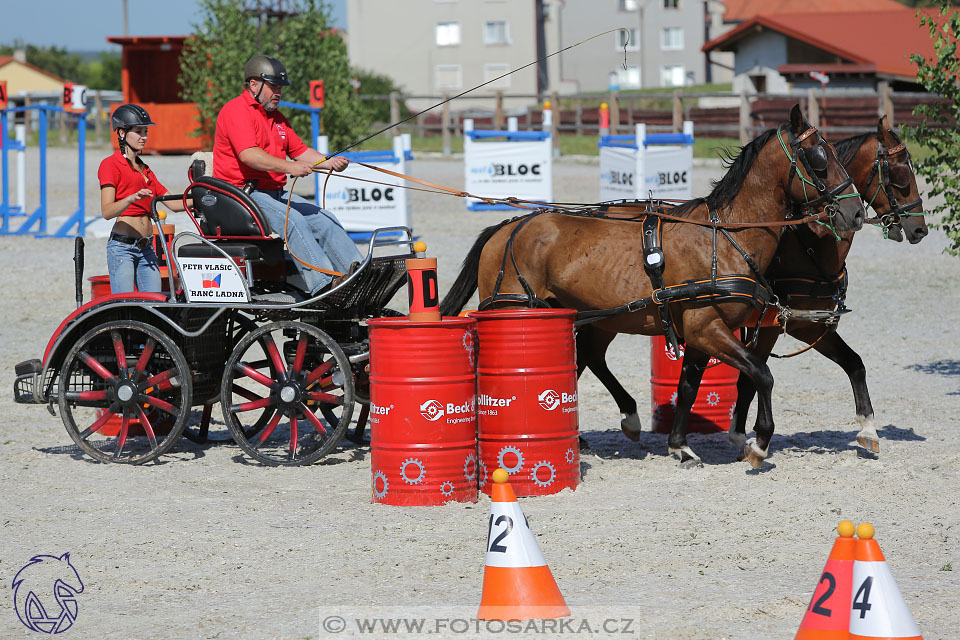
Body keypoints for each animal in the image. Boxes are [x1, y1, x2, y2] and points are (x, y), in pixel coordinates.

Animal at [446, 102, 868, 468]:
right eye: (818, 158)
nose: (855, 212)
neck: (723, 238)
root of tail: (507, 227)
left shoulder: (701, 334)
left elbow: (689, 386)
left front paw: (681, 445)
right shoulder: (707, 329)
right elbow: (761, 374)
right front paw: (759, 442)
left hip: (591, 317)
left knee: (587, 359)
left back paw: (614, 424)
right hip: (519, 309)